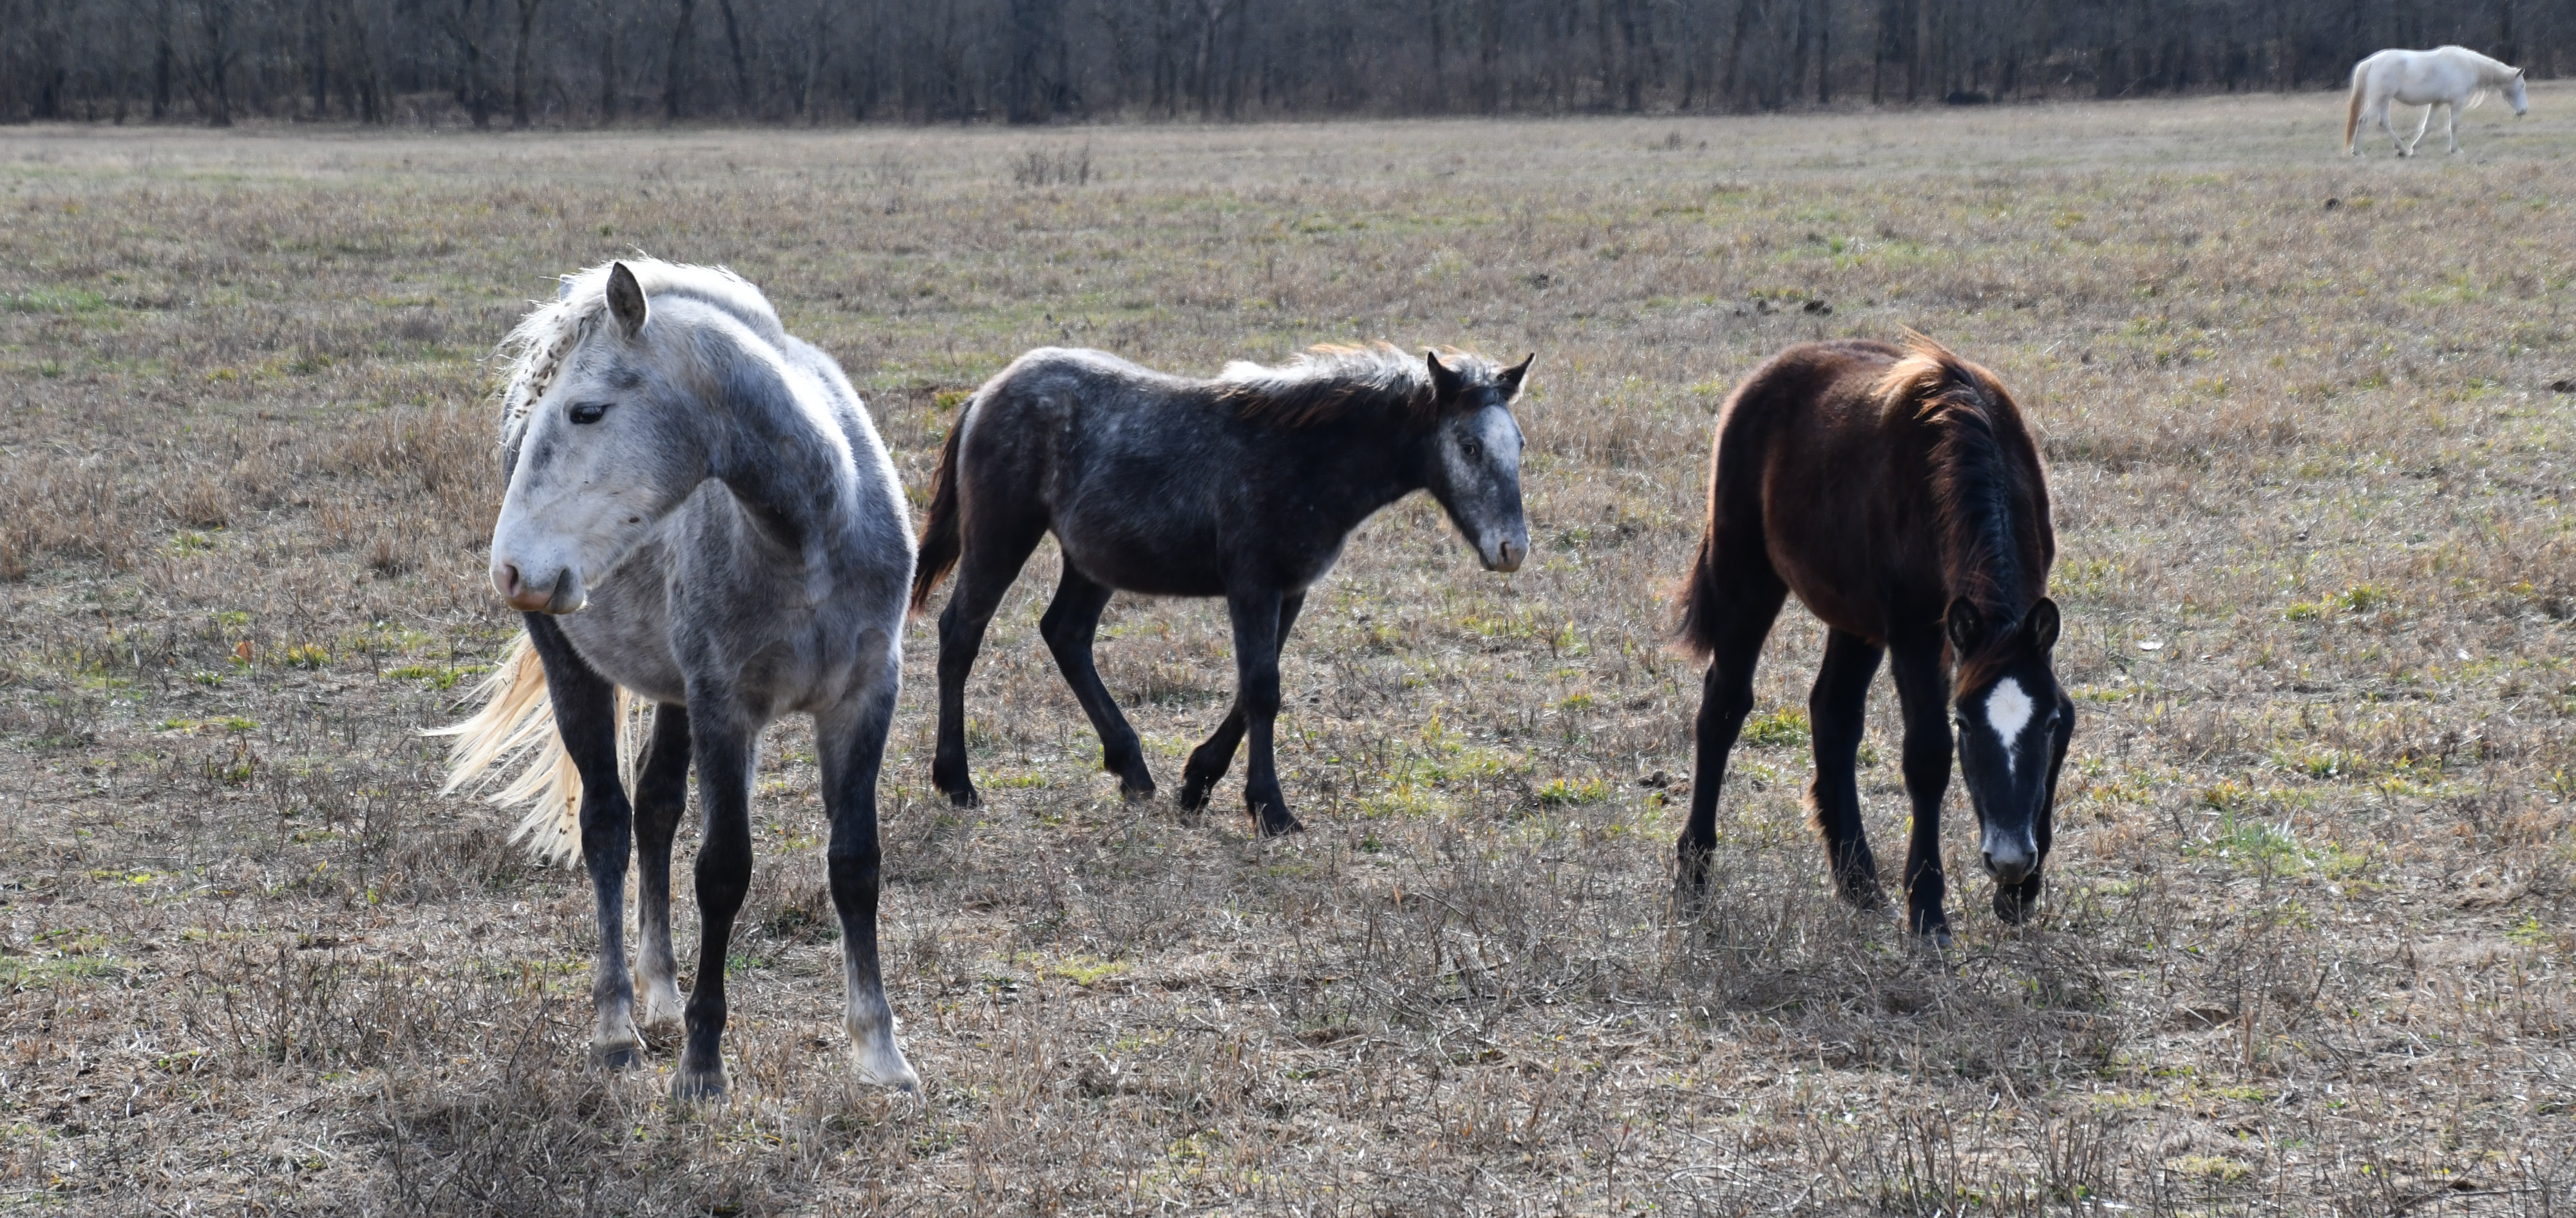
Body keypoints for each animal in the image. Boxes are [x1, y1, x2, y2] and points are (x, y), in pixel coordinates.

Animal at [434, 259, 921, 1100]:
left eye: (587, 411)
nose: (512, 567)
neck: (809, 538)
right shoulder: (727, 707)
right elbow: (723, 870)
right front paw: (702, 1064)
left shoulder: (863, 699)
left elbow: (856, 863)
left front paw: (881, 1052)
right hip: (575, 667)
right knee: (607, 823)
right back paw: (617, 1026)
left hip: (672, 695)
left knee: (656, 807)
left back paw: (659, 991)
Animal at [910, 342, 1533, 836]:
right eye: (1470, 446)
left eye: (1520, 445)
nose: (1513, 550)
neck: (1305, 456)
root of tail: (985, 394)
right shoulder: (1252, 583)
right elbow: (1262, 689)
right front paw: (1271, 810)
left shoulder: (1290, 589)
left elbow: (1255, 685)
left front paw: (1198, 781)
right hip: (1001, 539)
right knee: (960, 635)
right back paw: (957, 781)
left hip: (1091, 562)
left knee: (1066, 635)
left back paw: (1132, 769)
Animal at [1671, 334, 2071, 943]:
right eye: (1966, 724)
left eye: (2045, 725)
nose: (2010, 859)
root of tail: (1762, 380)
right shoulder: (1915, 635)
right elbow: (1927, 756)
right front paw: (1928, 912)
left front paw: (2019, 896)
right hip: (1749, 578)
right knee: (1724, 705)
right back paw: (1693, 874)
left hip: (1853, 619)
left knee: (1832, 713)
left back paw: (1857, 879)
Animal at [2345, 46, 2527, 157]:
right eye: (2522, 85)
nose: (2524, 111)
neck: (2468, 66)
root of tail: (2370, 62)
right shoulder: (2457, 102)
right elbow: (2454, 125)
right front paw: (2456, 150)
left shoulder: (2437, 103)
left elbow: (2428, 126)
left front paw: (2415, 149)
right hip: (2378, 101)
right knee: (2364, 121)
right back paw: (2358, 152)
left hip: (2384, 101)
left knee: (2384, 123)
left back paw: (2402, 150)